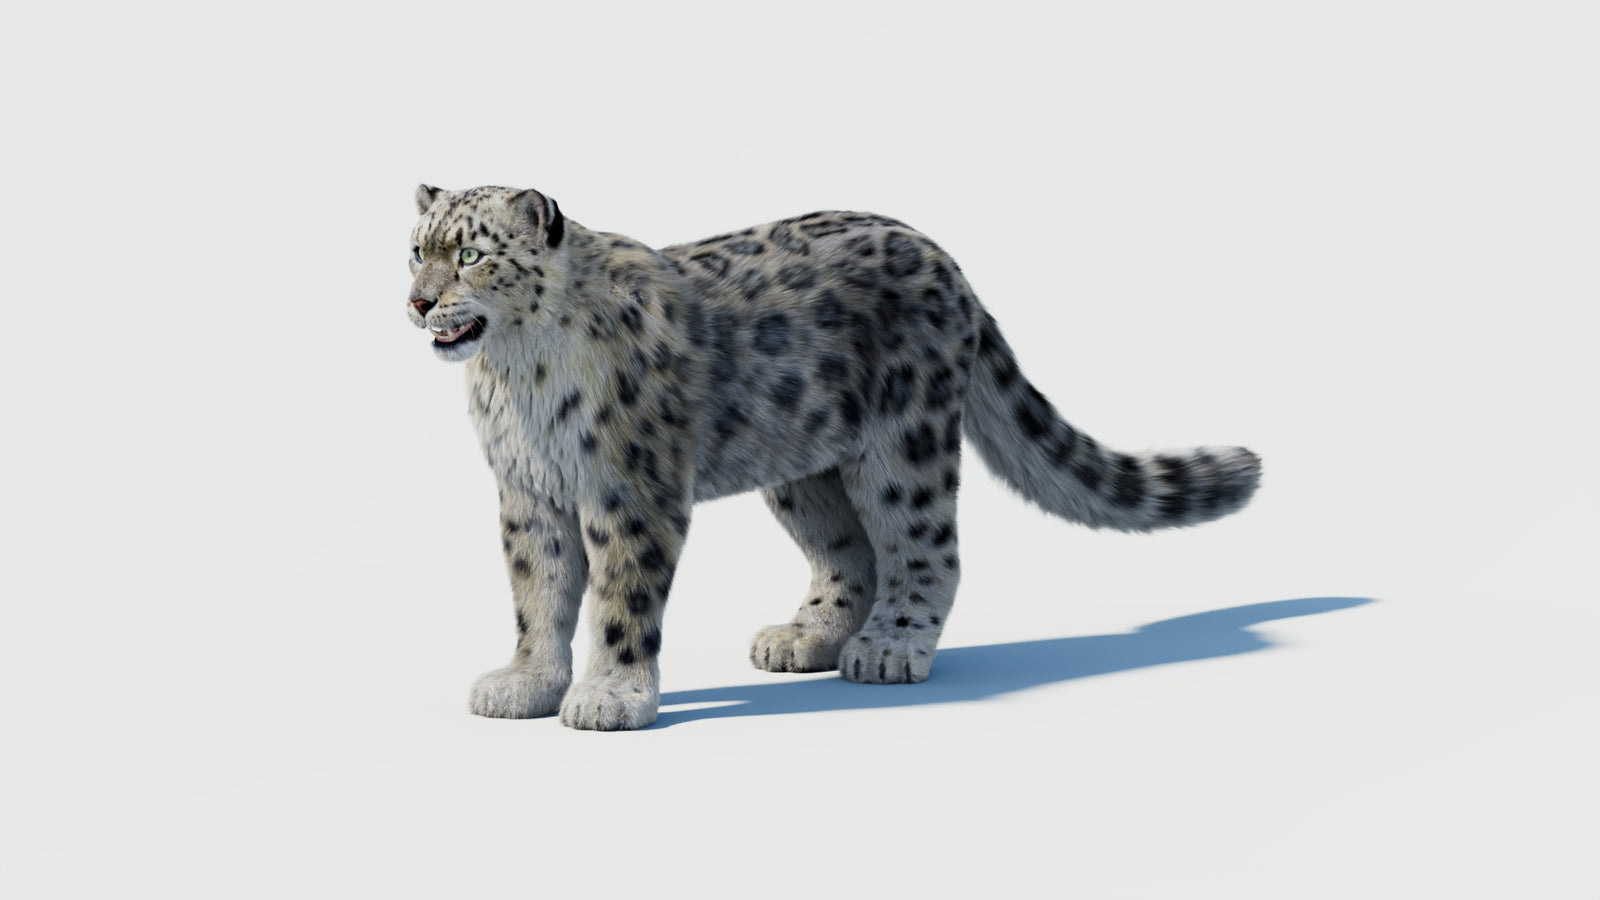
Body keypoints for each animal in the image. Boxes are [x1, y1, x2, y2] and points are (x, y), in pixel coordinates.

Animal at [405, 184, 1261, 731]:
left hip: (904, 448)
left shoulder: (629, 491)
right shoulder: (529, 495)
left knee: (925, 548)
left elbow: (620, 598)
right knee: (848, 552)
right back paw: (807, 639)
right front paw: (525, 683)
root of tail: (946, 259)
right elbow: (538, 592)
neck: (516, 378)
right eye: (416, 251)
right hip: (804, 468)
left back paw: (890, 646)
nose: (418, 302)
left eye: (472, 255)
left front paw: (610, 696)